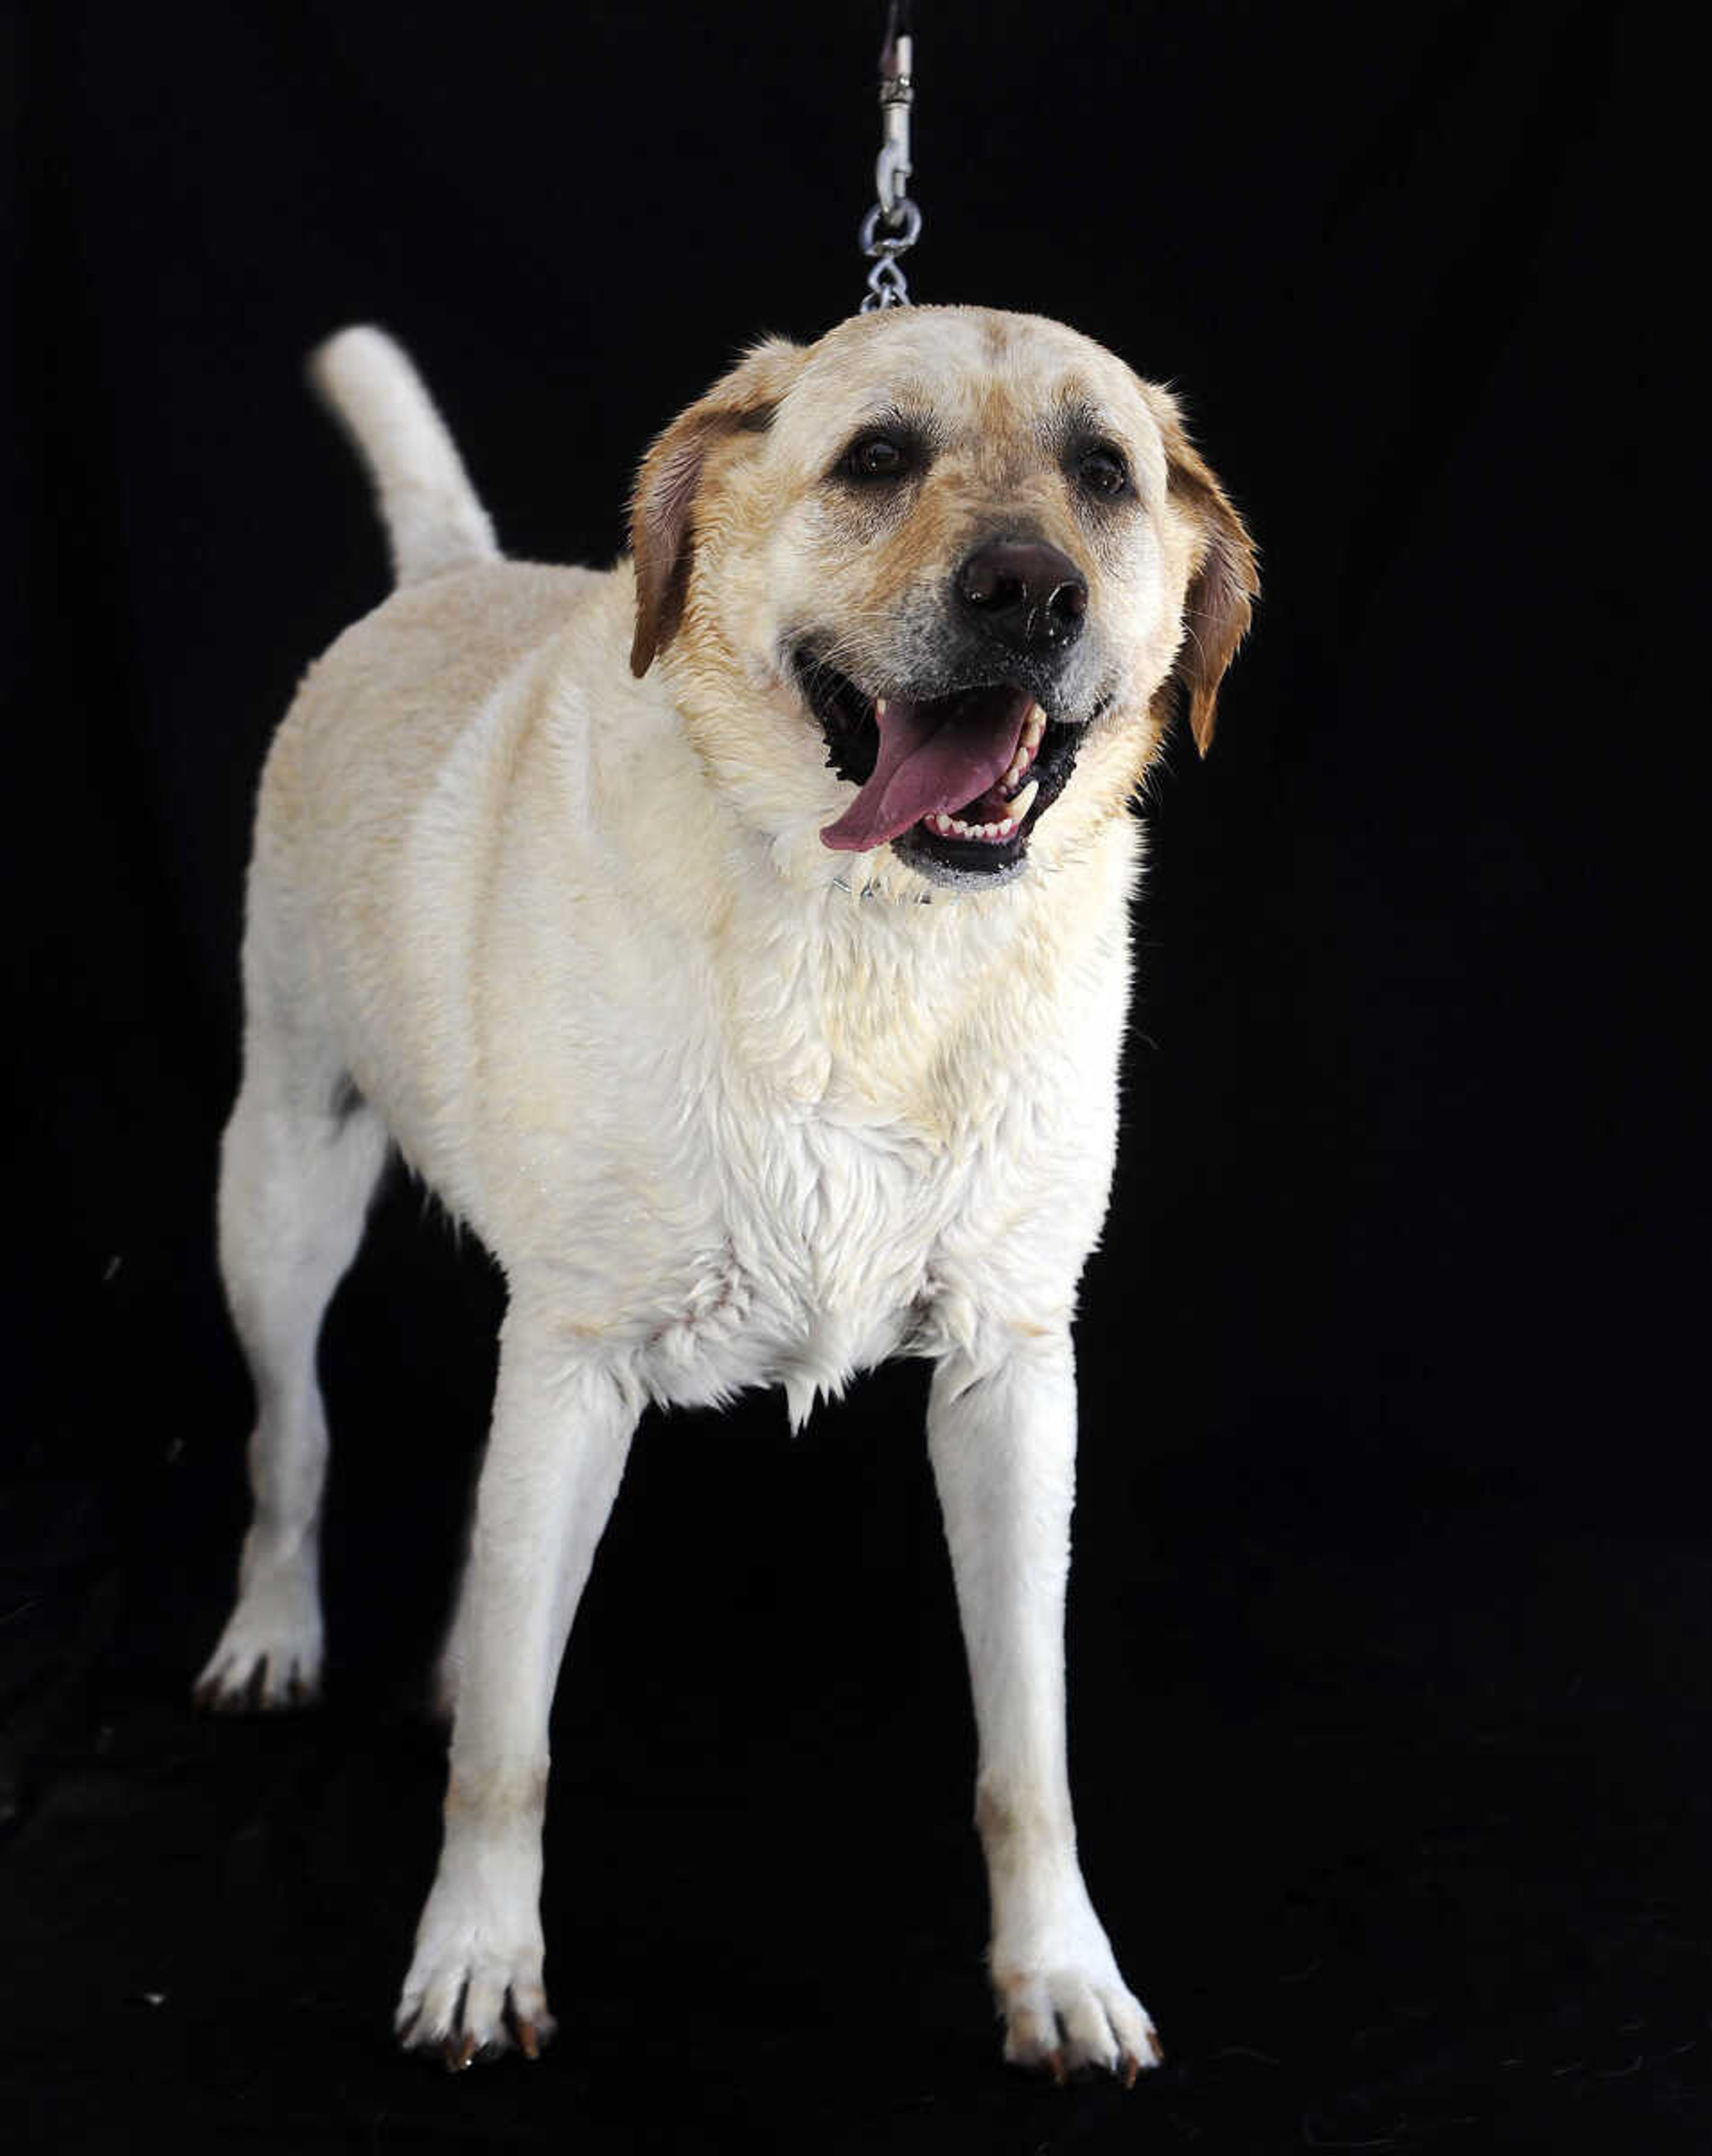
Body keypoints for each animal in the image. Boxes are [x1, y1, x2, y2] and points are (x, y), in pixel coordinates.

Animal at [197, 313, 1251, 2078]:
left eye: (1103, 471)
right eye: (877, 457)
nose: (1031, 592)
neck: (870, 936)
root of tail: (451, 572)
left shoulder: (1014, 1376)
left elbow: (1026, 1744)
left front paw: (1059, 1971)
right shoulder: (574, 1356)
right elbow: (511, 1750)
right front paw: (475, 1952)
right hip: (282, 1182)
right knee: (295, 1437)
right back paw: (274, 1628)